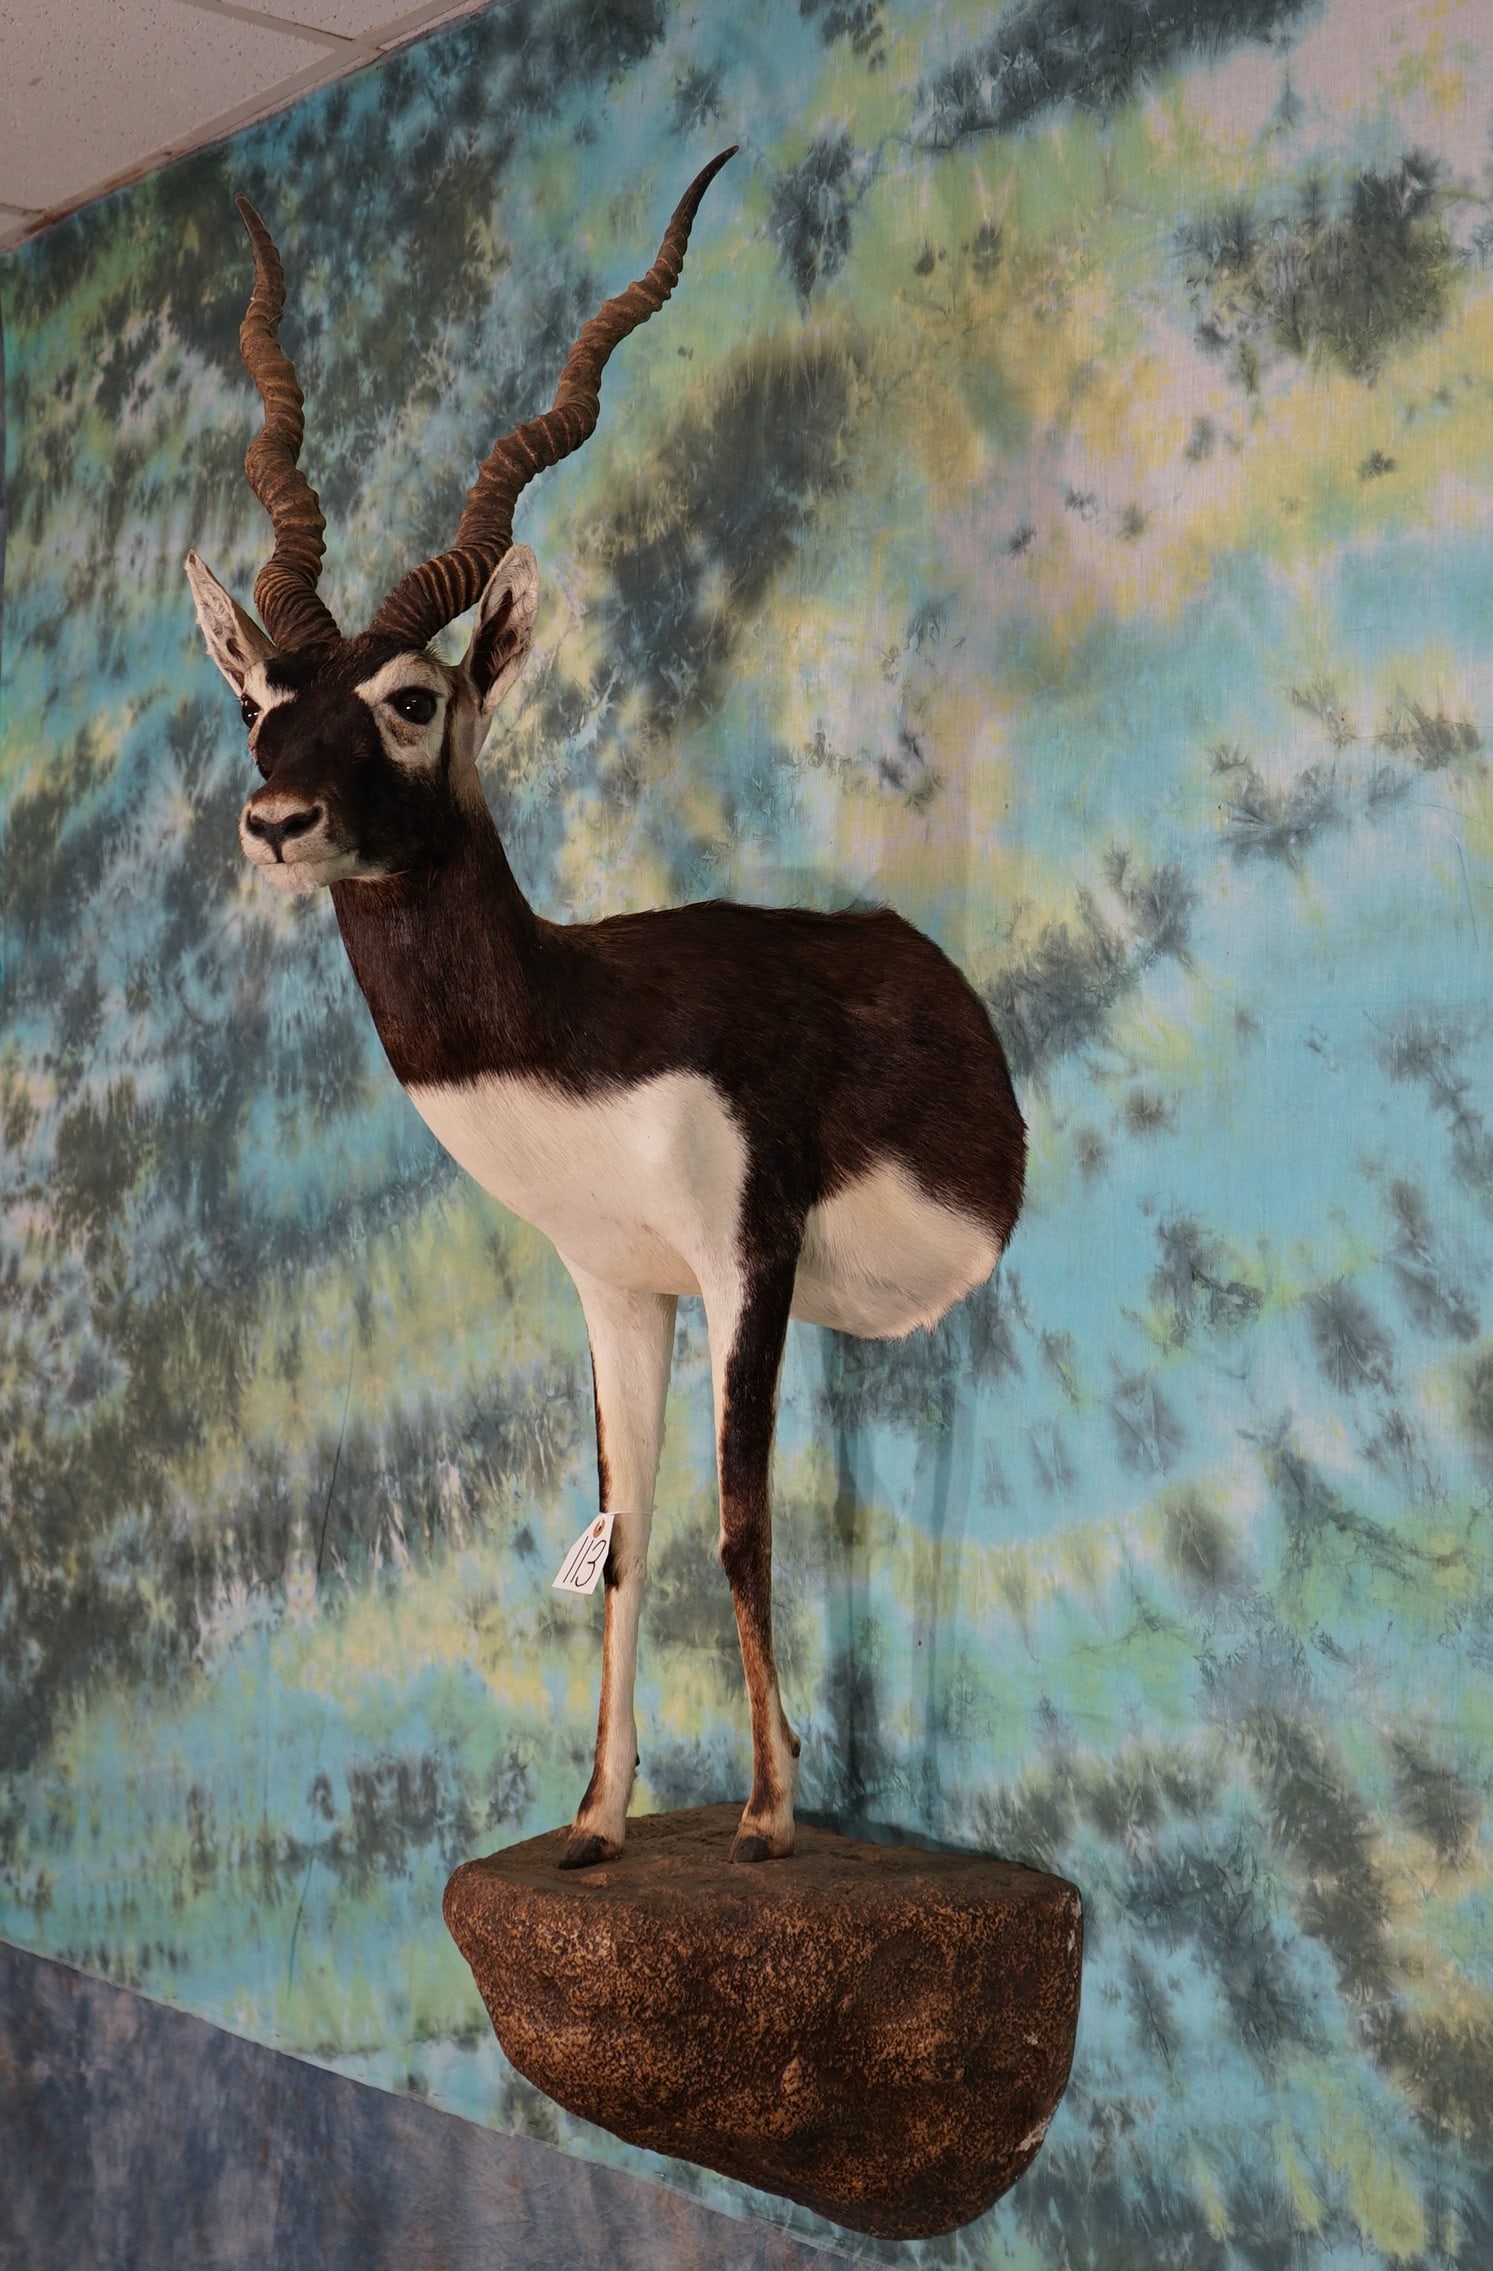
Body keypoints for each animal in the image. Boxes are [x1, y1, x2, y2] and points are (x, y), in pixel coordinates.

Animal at [186, 151, 1025, 1867]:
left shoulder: (741, 1255)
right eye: (256, 705)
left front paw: (768, 1813)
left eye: (413, 697)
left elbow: (740, 1519)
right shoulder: (615, 1282)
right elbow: (624, 1529)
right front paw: (595, 1814)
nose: (274, 823)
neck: (573, 1033)